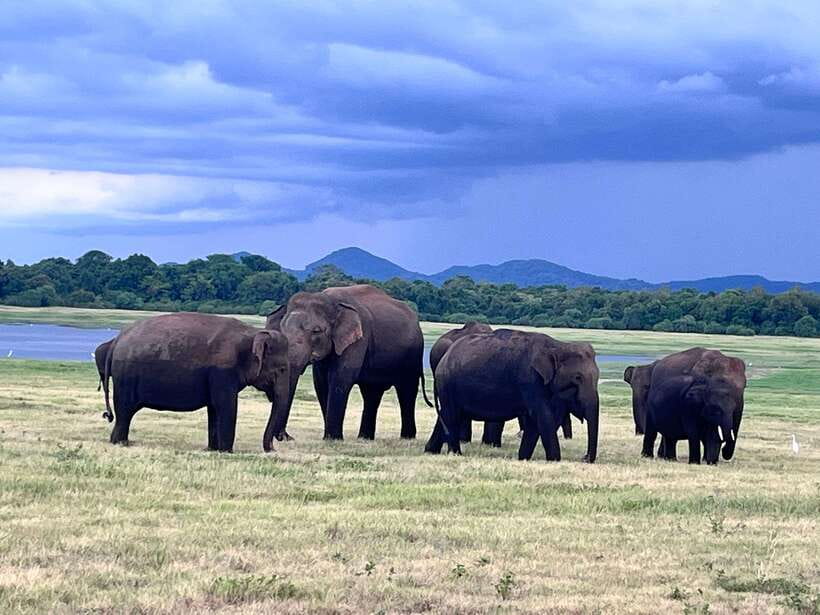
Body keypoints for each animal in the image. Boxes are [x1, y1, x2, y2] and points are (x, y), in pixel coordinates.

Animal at [102, 313, 290, 452]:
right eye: (281, 369)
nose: (273, 448)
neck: (252, 333)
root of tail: (116, 340)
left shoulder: (216, 377)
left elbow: (214, 408)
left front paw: (213, 450)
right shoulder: (223, 372)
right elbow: (226, 406)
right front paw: (227, 452)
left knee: (124, 413)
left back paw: (117, 442)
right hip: (125, 377)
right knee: (125, 411)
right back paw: (121, 443)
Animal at [266, 284, 432, 441]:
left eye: (316, 331)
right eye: (281, 329)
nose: (286, 437)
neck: (330, 300)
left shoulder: (358, 339)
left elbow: (340, 379)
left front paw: (333, 439)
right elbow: (321, 383)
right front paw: (331, 438)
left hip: (412, 356)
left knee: (407, 391)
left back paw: (407, 438)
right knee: (372, 393)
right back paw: (365, 438)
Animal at [425, 329, 599, 462]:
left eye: (597, 377)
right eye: (577, 378)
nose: (584, 458)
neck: (558, 345)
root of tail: (444, 358)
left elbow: (534, 422)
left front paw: (523, 458)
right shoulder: (530, 381)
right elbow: (543, 417)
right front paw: (555, 460)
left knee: (447, 414)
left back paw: (430, 451)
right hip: (448, 384)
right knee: (452, 415)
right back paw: (456, 454)